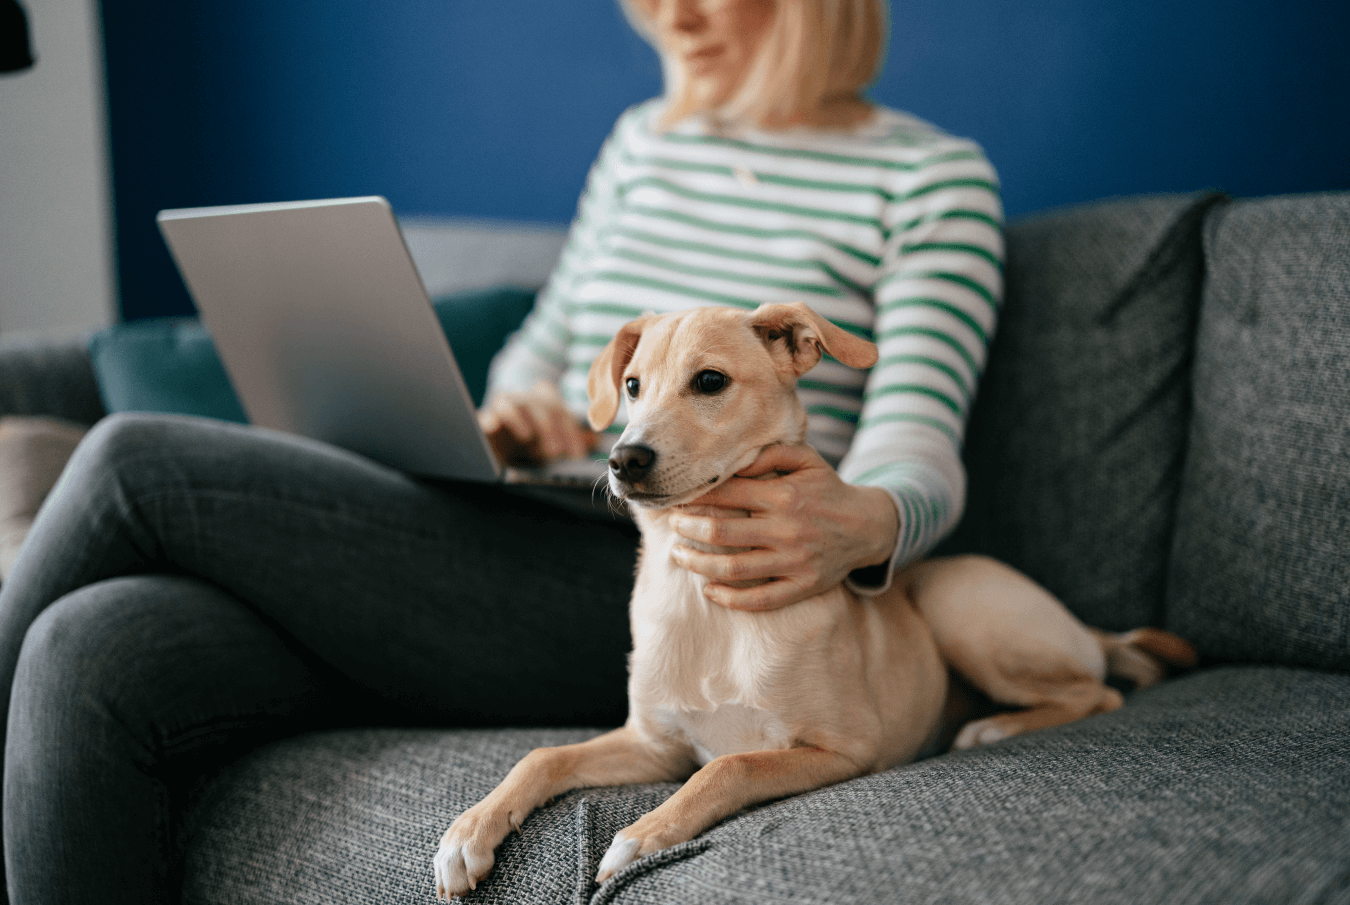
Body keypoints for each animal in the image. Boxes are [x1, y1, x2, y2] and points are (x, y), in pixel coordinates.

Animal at [429, 302, 1193, 902]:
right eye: (632, 386)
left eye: (710, 381)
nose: (624, 460)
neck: (708, 605)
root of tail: (1087, 628)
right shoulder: (654, 743)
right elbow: (543, 756)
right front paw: (468, 833)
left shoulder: (841, 749)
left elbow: (730, 766)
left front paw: (644, 834)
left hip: (963, 607)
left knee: (1101, 691)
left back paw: (997, 726)